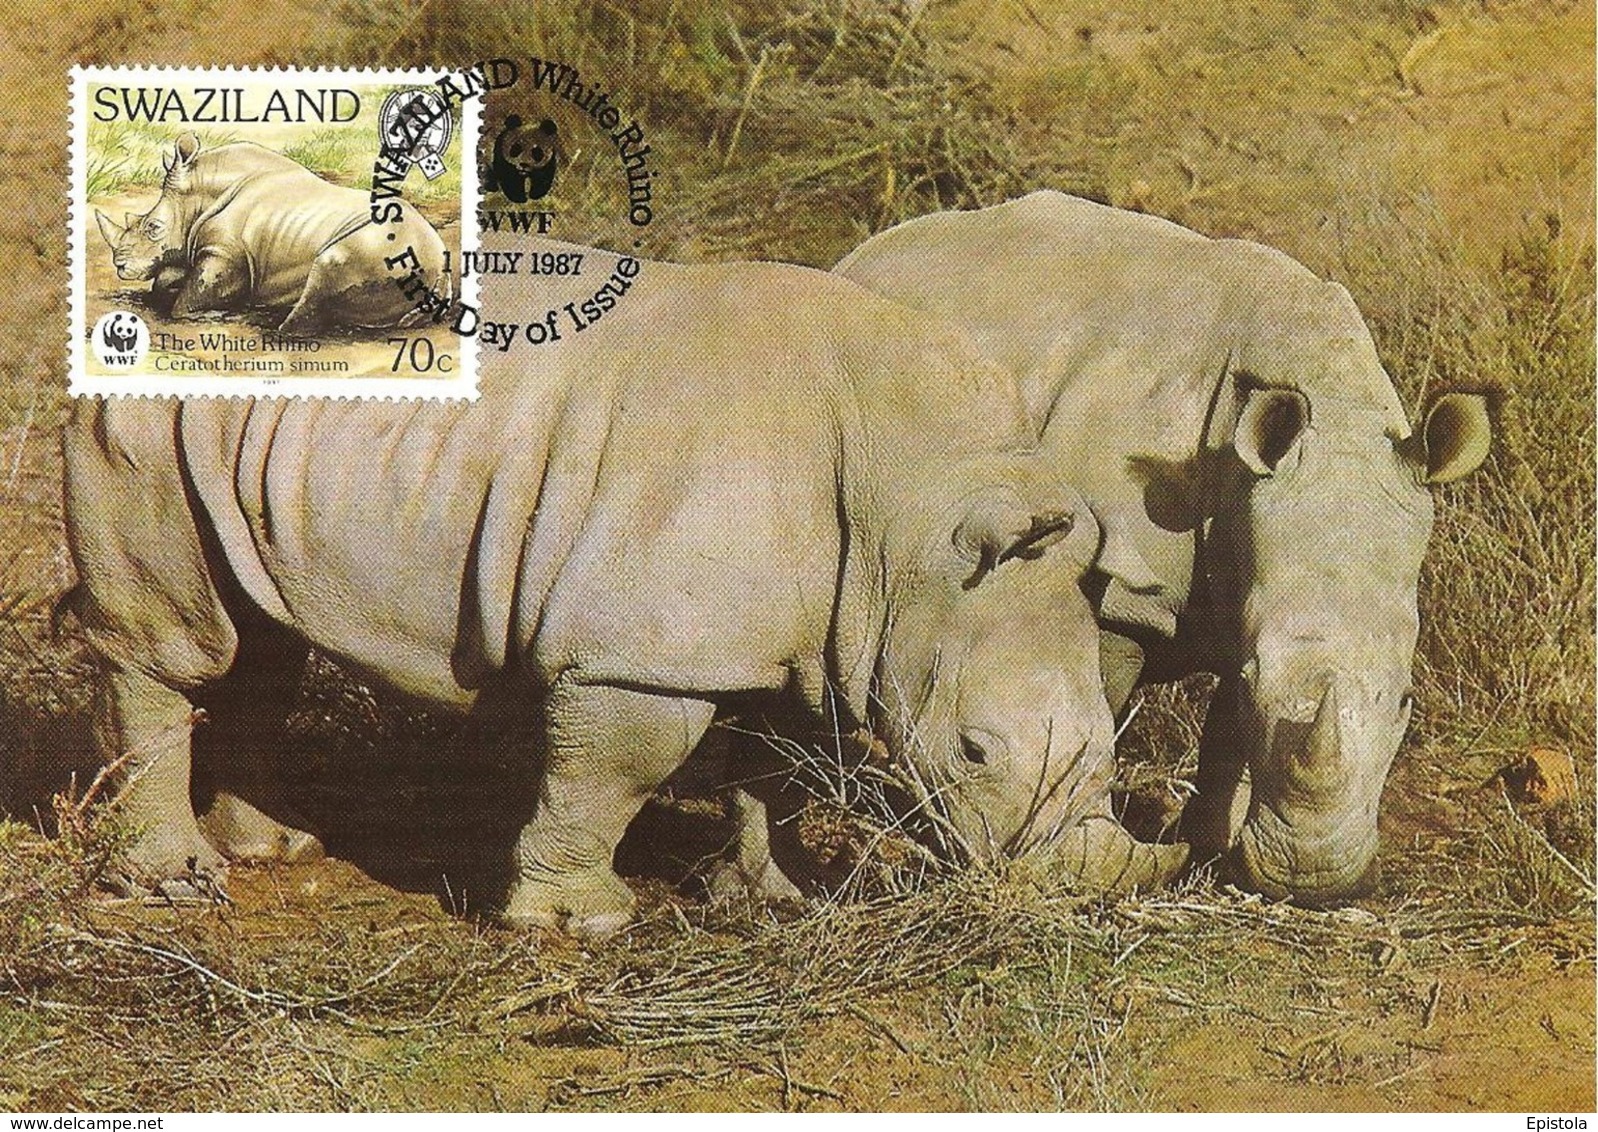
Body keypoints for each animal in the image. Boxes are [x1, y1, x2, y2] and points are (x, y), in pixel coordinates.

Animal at [63, 244, 1180, 936]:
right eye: (975, 753)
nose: (1071, 897)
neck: (910, 506)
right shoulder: (638, 650)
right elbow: (618, 767)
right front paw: (579, 921)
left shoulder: (819, 626)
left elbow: (774, 765)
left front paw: (771, 898)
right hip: (142, 410)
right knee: (179, 641)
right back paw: (173, 883)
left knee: (259, 635)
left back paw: (273, 847)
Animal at [94, 133, 446, 335]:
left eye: (153, 228)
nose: (120, 266)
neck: (201, 194)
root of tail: (441, 264)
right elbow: (165, 281)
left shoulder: (226, 254)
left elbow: (188, 301)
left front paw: (213, 313)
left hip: (382, 249)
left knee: (327, 268)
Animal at [825, 192, 1493, 903]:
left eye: (1405, 700)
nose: (1314, 881)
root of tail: (869, 251)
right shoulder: (1118, 595)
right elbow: (1103, 691)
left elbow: (1229, 738)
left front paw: (1210, 851)